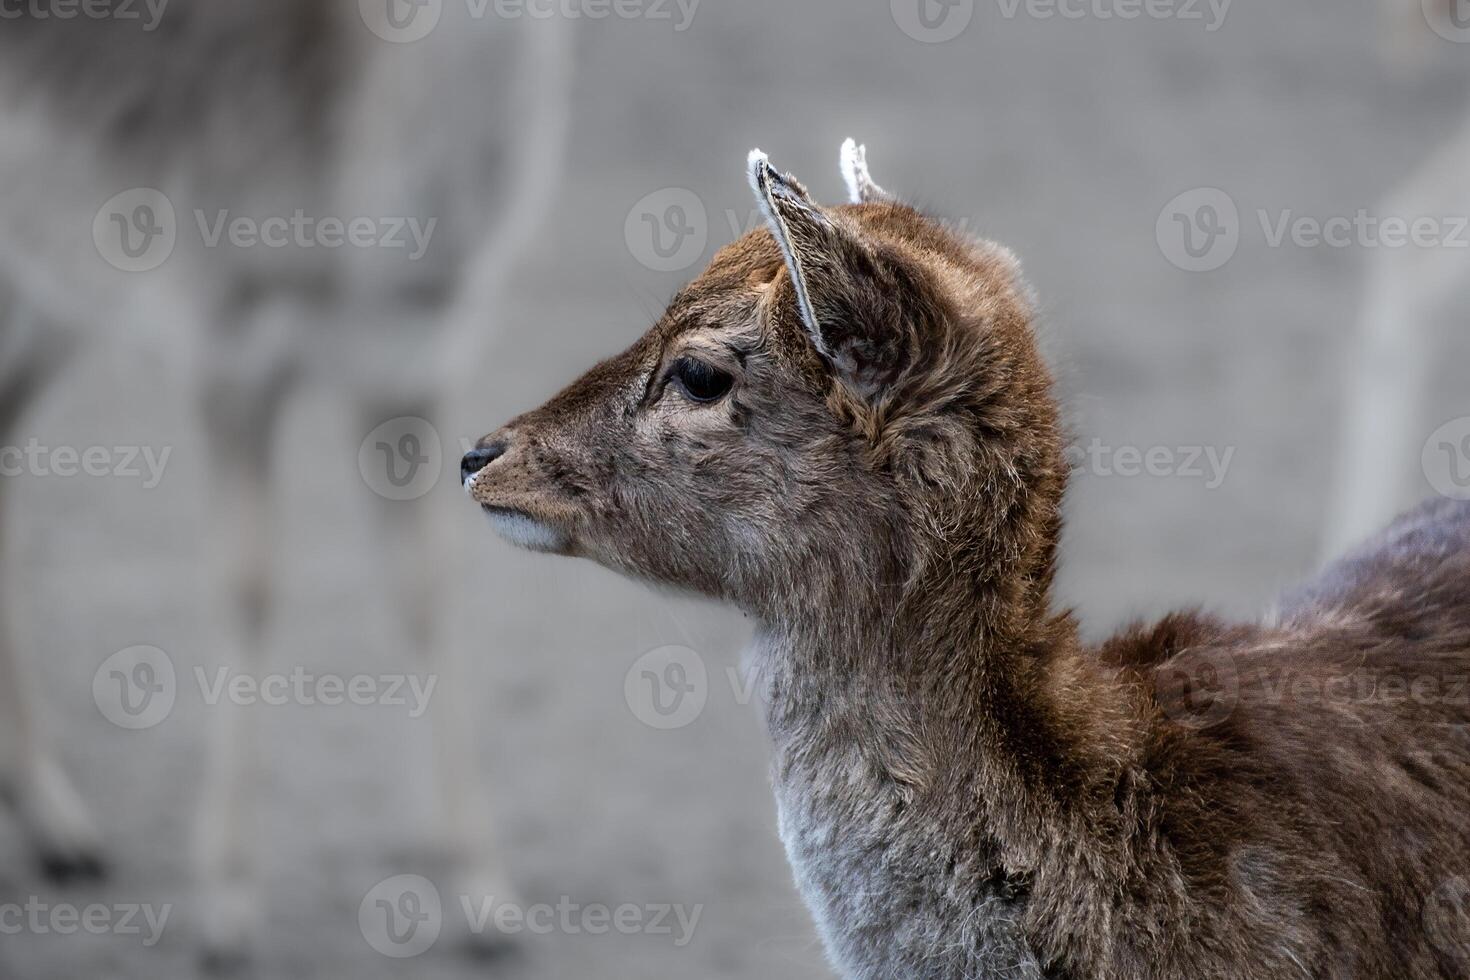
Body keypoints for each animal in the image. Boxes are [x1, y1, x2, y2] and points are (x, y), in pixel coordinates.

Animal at [0, 0, 570, 963]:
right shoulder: (223, 336)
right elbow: (249, 586)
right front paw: (225, 906)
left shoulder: (410, 363)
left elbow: (425, 589)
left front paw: (484, 896)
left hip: (45, 294)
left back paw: (58, 833)